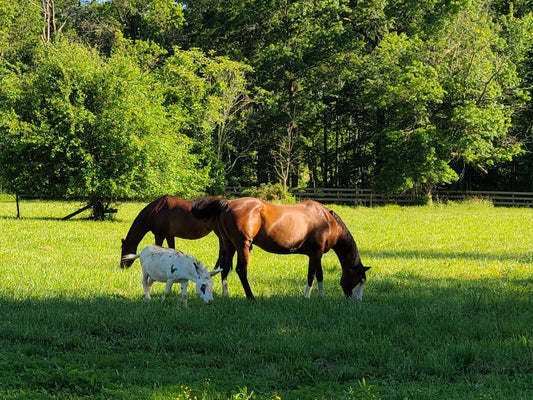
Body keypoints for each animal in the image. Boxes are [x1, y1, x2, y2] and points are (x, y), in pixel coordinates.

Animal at [191, 197, 370, 300]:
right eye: (360, 280)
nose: (357, 301)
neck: (326, 220)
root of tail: (227, 203)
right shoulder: (315, 254)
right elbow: (312, 275)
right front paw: (307, 297)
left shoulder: (316, 255)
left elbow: (319, 275)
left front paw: (321, 296)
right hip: (243, 246)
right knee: (241, 270)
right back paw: (251, 297)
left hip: (229, 245)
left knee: (225, 268)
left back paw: (226, 295)